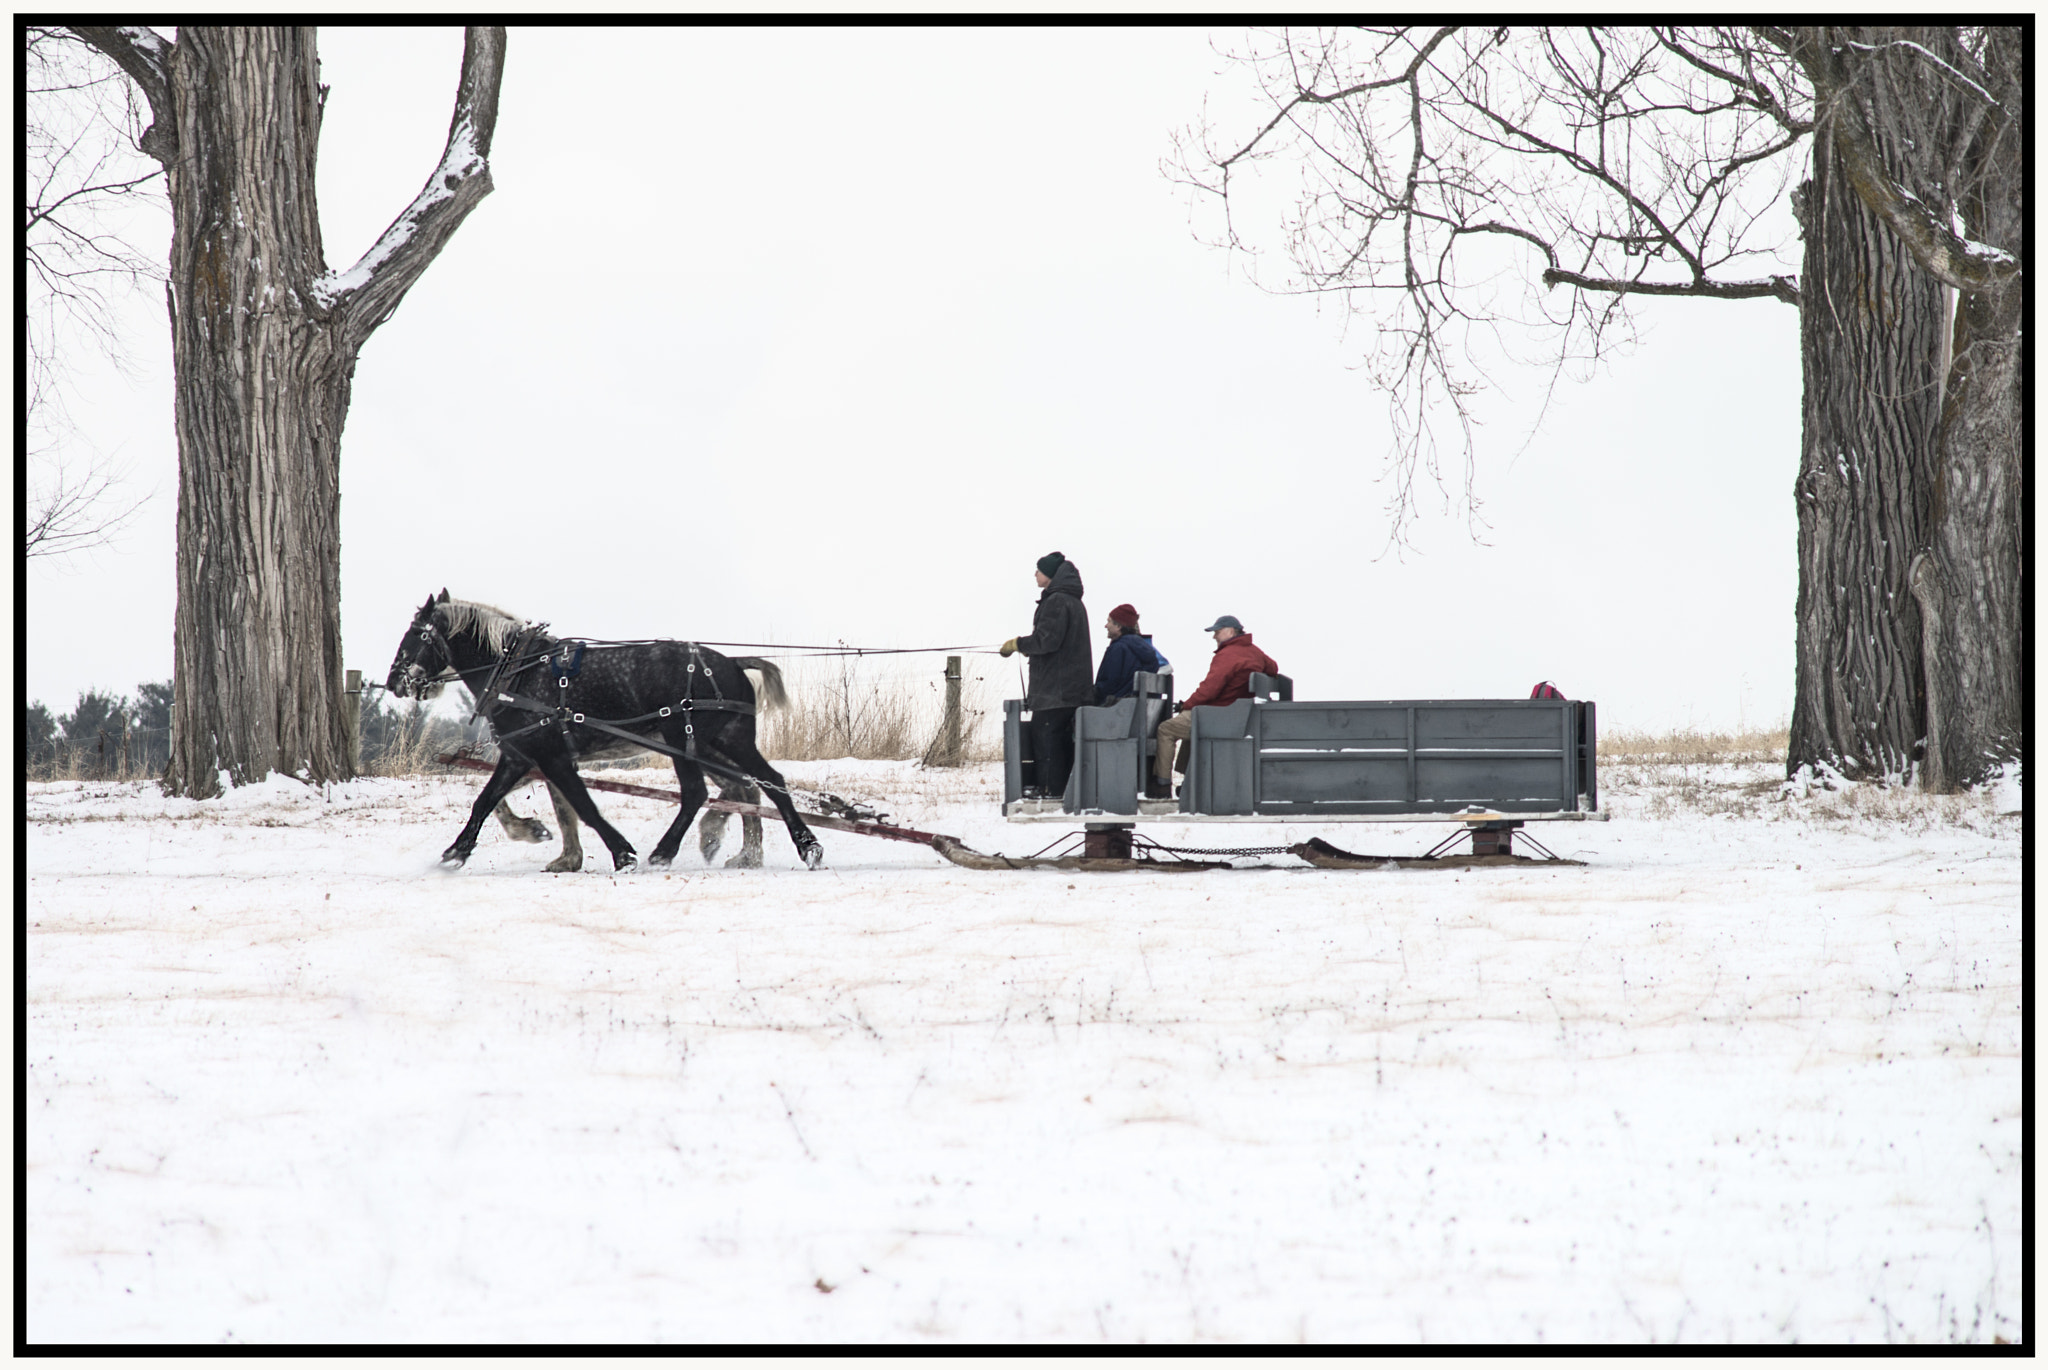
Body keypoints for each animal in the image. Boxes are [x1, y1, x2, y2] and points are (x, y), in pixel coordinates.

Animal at [387, 585, 819, 864]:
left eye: (414, 635)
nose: (394, 682)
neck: (518, 672)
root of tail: (732, 663)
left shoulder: (552, 757)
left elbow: (584, 806)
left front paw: (620, 852)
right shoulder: (520, 755)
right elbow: (487, 801)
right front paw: (459, 851)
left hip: (685, 739)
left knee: (701, 792)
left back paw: (667, 851)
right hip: (727, 739)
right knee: (764, 782)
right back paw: (800, 845)